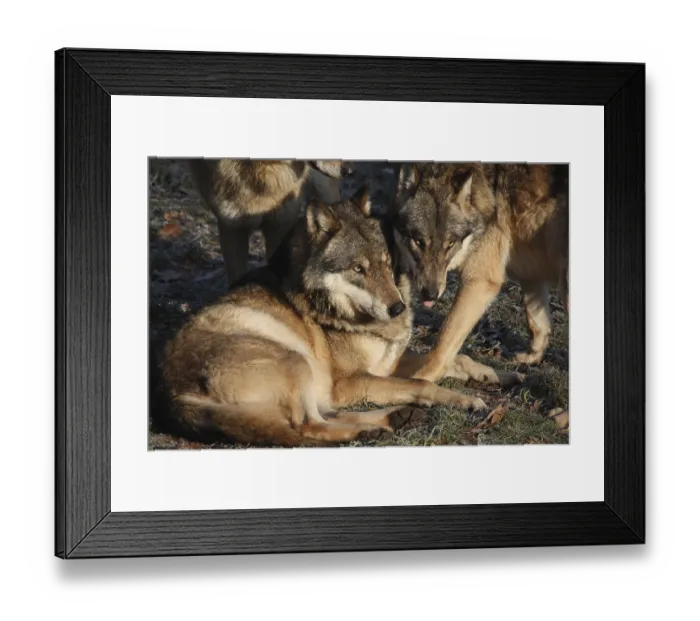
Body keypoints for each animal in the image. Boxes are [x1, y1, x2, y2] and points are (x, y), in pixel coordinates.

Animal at [161, 191, 488, 447]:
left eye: (385, 263)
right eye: (358, 269)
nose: (397, 308)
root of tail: (174, 395)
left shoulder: (385, 365)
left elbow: (450, 360)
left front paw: (489, 374)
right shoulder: (347, 383)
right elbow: (422, 384)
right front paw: (465, 399)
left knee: (326, 414)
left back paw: (394, 418)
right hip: (297, 361)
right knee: (308, 426)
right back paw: (369, 430)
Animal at [392, 162, 568, 384]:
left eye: (450, 243)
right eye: (418, 241)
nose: (430, 294)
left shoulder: (479, 281)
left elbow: (442, 344)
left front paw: (421, 378)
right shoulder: (531, 274)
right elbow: (538, 322)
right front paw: (531, 358)